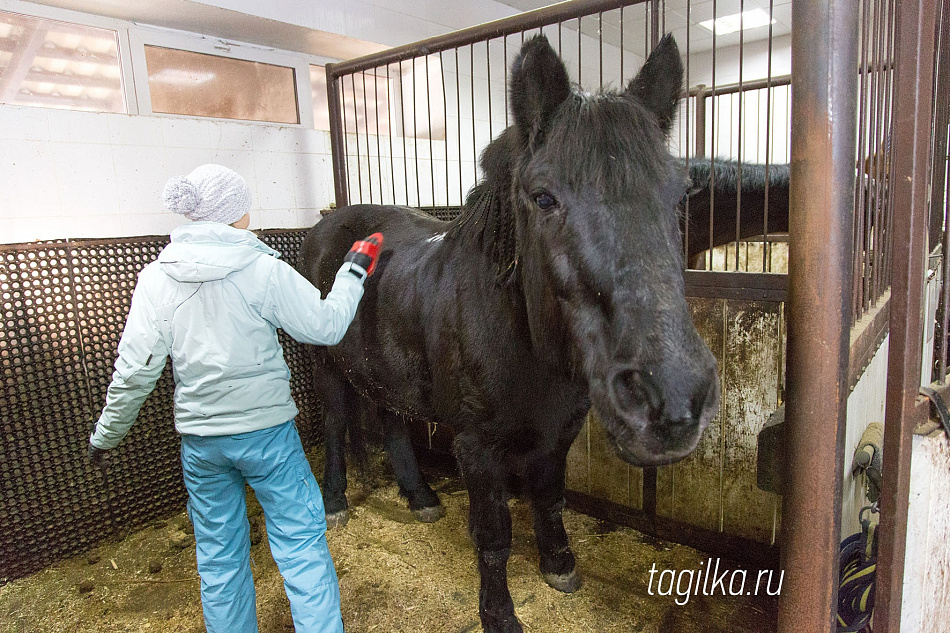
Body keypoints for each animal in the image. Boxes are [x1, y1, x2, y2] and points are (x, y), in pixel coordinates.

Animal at [304, 34, 720, 632]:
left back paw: (420, 496)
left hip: (389, 367)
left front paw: (559, 565)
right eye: (543, 197)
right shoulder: (478, 448)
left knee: (392, 420)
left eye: (681, 194)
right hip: (327, 366)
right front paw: (499, 613)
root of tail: (328, 223)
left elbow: (549, 498)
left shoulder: (560, 430)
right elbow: (494, 535)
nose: (674, 397)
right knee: (337, 424)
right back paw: (335, 502)